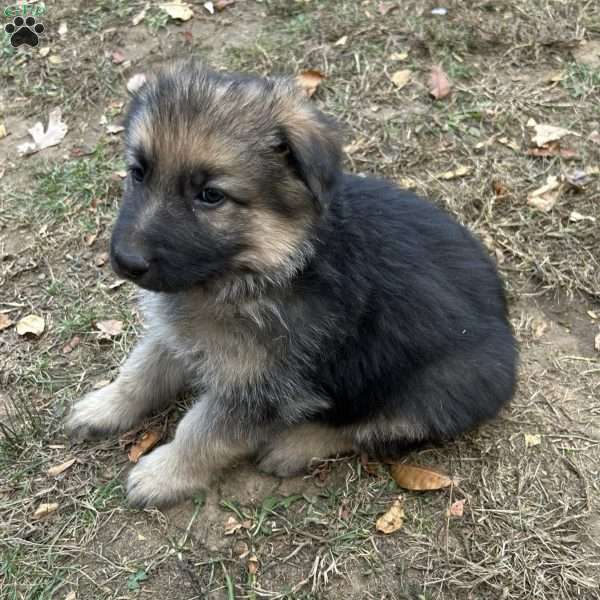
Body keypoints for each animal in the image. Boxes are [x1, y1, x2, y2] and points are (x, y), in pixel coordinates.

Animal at [64, 59, 516, 506]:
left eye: (210, 195)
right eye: (139, 172)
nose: (125, 261)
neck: (266, 269)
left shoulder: (261, 389)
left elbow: (202, 432)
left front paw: (164, 474)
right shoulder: (175, 334)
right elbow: (141, 371)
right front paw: (105, 405)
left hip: (435, 389)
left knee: (367, 428)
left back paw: (294, 444)